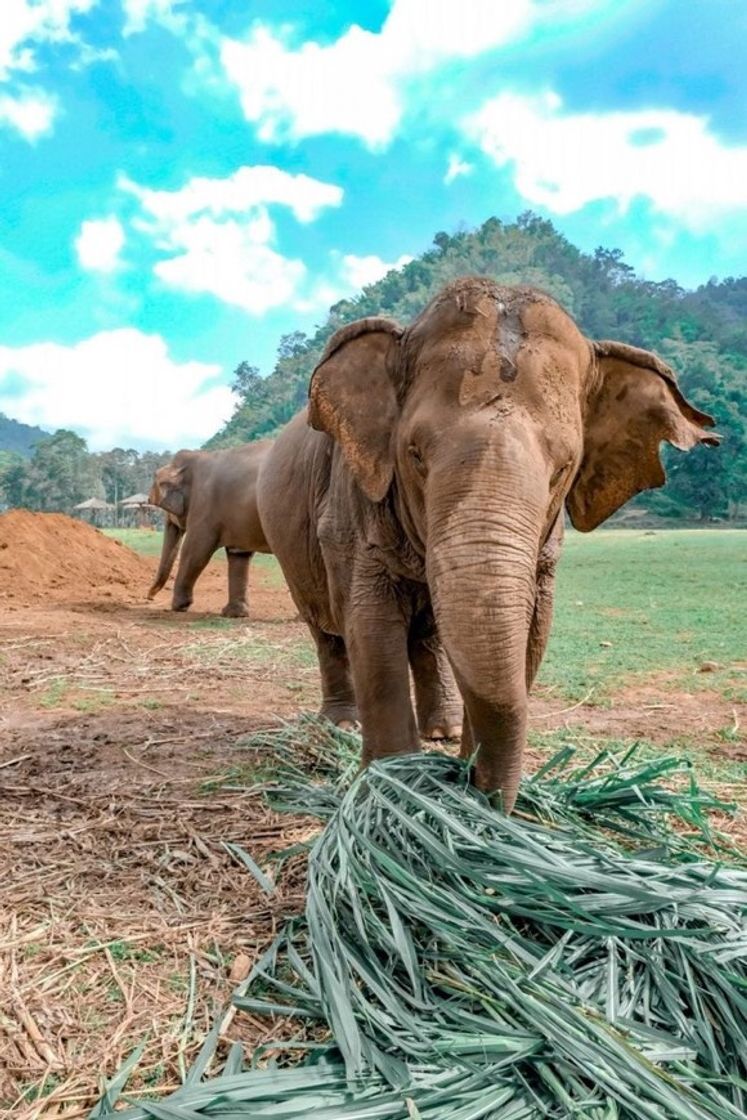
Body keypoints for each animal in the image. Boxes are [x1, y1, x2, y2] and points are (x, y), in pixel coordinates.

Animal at [147, 441, 273, 618]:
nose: (149, 597)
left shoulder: (204, 505)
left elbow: (195, 551)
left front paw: (179, 606)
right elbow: (238, 555)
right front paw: (234, 614)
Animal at [258, 275, 716, 810]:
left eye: (563, 466)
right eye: (414, 454)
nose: (472, 783)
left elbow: (532, 631)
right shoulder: (353, 499)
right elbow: (371, 625)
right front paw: (391, 787)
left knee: (430, 636)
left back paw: (443, 730)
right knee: (328, 632)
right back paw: (345, 723)